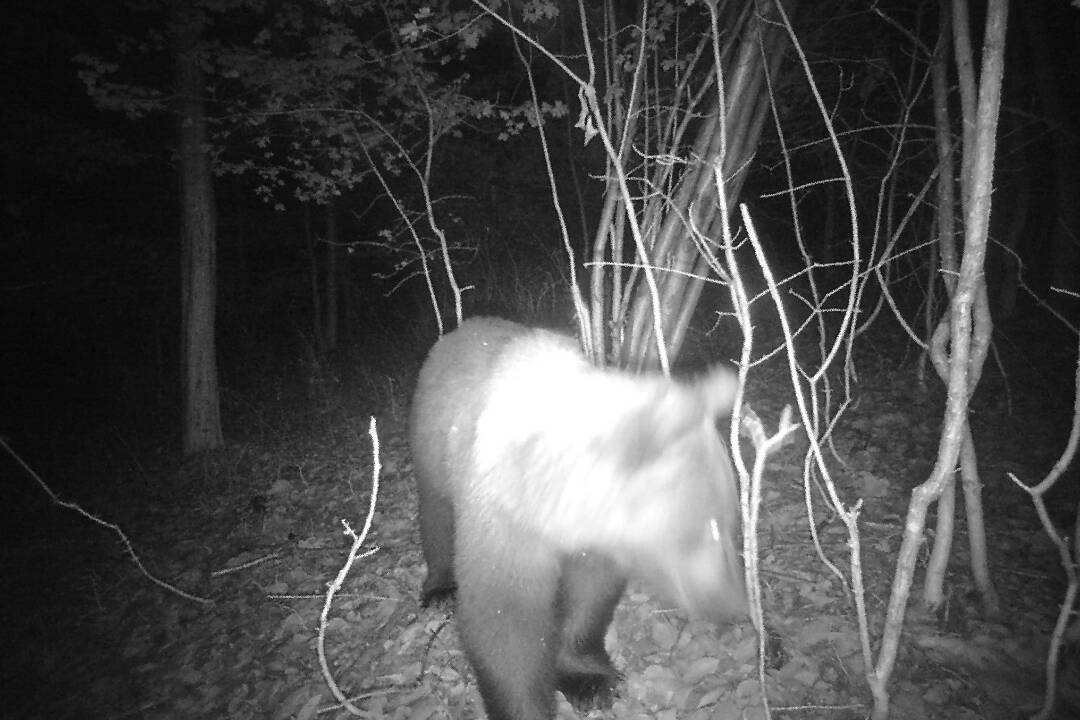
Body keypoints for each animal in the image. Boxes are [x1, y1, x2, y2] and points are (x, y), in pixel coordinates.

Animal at [408, 317, 747, 720]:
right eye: (707, 528)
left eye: (731, 523)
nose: (732, 604)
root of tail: (463, 327)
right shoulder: (505, 523)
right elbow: (506, 625)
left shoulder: (595, 543)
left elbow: (589, 600)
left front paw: (589, 681)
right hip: (435, 448)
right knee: (437, 515)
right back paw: (440, 588)